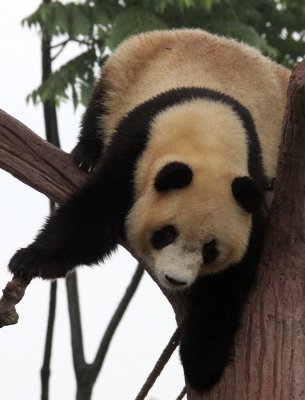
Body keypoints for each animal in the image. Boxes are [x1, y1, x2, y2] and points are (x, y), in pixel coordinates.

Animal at [8, 30, 290, 390]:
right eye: (166, 234)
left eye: (210, 249)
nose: (175, 279)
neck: (207, 131)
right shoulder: (136, 148)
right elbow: (91, 216)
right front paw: (31, 259)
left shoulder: (249, 186)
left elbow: (229, 281)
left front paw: (201, 361)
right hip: (129, 64)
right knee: (102, 104)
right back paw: (85, 153)